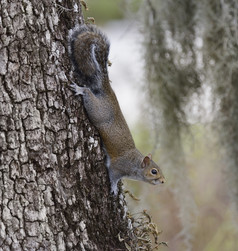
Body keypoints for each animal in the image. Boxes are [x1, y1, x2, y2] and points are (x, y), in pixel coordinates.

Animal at [69, 24, 165, 194]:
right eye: (154, 171)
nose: (163, 181)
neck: (135, 164)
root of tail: (108, 92)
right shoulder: (118, 167)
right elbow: (113, 175)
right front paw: (114, 188)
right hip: (97, 111)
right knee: (88, 94)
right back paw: (81, 89)